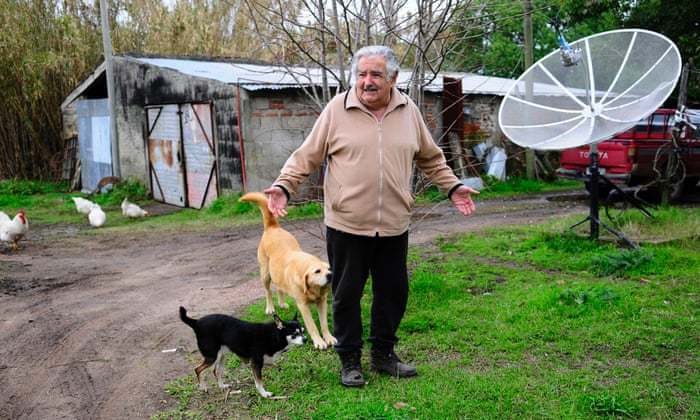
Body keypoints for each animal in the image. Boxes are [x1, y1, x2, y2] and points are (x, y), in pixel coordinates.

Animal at [241, 192, 336, 350]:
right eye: (317, 271)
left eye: (329, 269)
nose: (330, 275)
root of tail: (272, 227)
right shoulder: (303, 306)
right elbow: (312, 326)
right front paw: (318, 341)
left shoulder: (322, 302)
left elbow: (324, 324)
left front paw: (328, 338)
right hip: (265, 274)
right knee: (268, 291)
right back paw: (270, 308)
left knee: (279, 288)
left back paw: (281, 303)